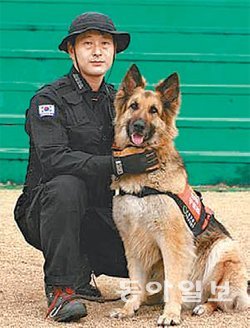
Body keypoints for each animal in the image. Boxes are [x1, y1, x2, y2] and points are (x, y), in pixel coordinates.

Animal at [110, 64, 249, 326]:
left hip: (223, 249)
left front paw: (171, 314)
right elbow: (135, 280)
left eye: (154, 110)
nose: (138, 126)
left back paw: (203, 307)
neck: (144, 179)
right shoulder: (132, 242)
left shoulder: (173, 241)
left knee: (219, 299)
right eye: (134, 106)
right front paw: (129, 308)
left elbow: (174, 281)